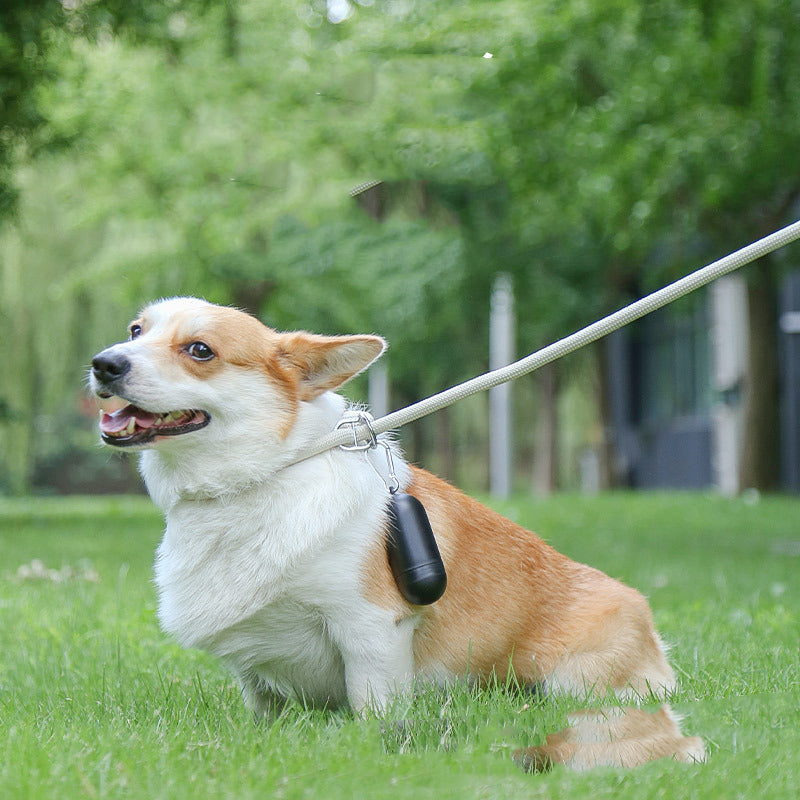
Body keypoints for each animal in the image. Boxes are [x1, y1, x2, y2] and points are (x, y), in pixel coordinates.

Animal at [90, 298, 704, 768]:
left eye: (200, 350)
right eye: (136, 331)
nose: (104, 363)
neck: (257, 482)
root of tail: (651, 628)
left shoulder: (369, 627)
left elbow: (374, 709)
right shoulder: (254, 667)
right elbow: (265, 707)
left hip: (572, 682)